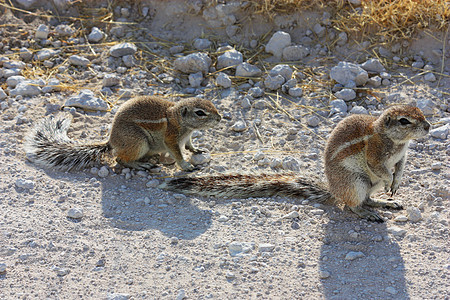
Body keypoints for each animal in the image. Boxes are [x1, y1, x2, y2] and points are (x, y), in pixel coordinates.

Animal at [24, 95, 221, 172]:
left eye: (211, 104)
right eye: (200, 113)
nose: (220, 118)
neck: (179, 119)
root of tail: (111, 142)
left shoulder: (187, 137)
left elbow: (189, 145)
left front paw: (197, 150)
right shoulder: (172, 138)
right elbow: (177, 153)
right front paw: (186, 165)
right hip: (138, 142)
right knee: (120, 159)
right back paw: (141, 165)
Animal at [163, 104, 430, 221]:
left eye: (421, 112)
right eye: (404, 121)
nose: (428, 127)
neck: (394, 139)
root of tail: (333, 191)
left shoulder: (402, 155)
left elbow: (401, 166)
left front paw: (397, 182)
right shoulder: (375, 154)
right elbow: (379, 168)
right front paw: (390, 179)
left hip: (366, 186)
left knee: (368, 200)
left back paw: (386, 203)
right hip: (357, 182)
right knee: (353, 205)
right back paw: (367, 213)